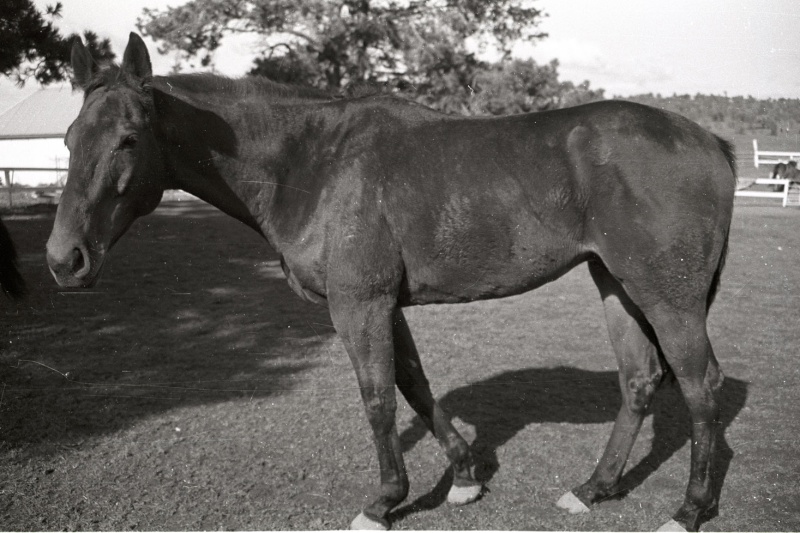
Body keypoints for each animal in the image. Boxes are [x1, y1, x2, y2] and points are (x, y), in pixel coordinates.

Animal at [48, 35, 736, 528]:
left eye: (128, 139)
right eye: (70, 137)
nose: (63, 259)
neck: (313, 162)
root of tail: (709, 141)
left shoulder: (359, 304)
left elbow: (378, 398)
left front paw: (384, 502)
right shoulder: (386, 305)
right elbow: (414, 384)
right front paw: (464, 477)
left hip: (666, 297)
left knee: (700, 388)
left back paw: (688, 512)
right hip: (615, 282)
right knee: (640, 381)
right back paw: (593, 489)